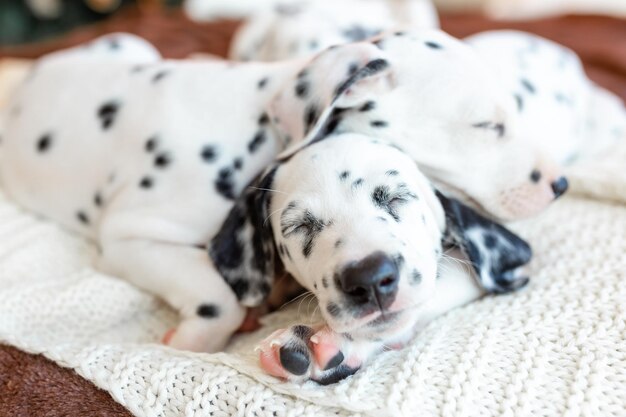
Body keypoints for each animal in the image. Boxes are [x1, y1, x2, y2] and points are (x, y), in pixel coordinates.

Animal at [0, 32, 536, 384]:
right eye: (486, 125)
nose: (553, 183)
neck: (257, 132)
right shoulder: (129, 236)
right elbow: (217, 297)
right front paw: (190, 341)